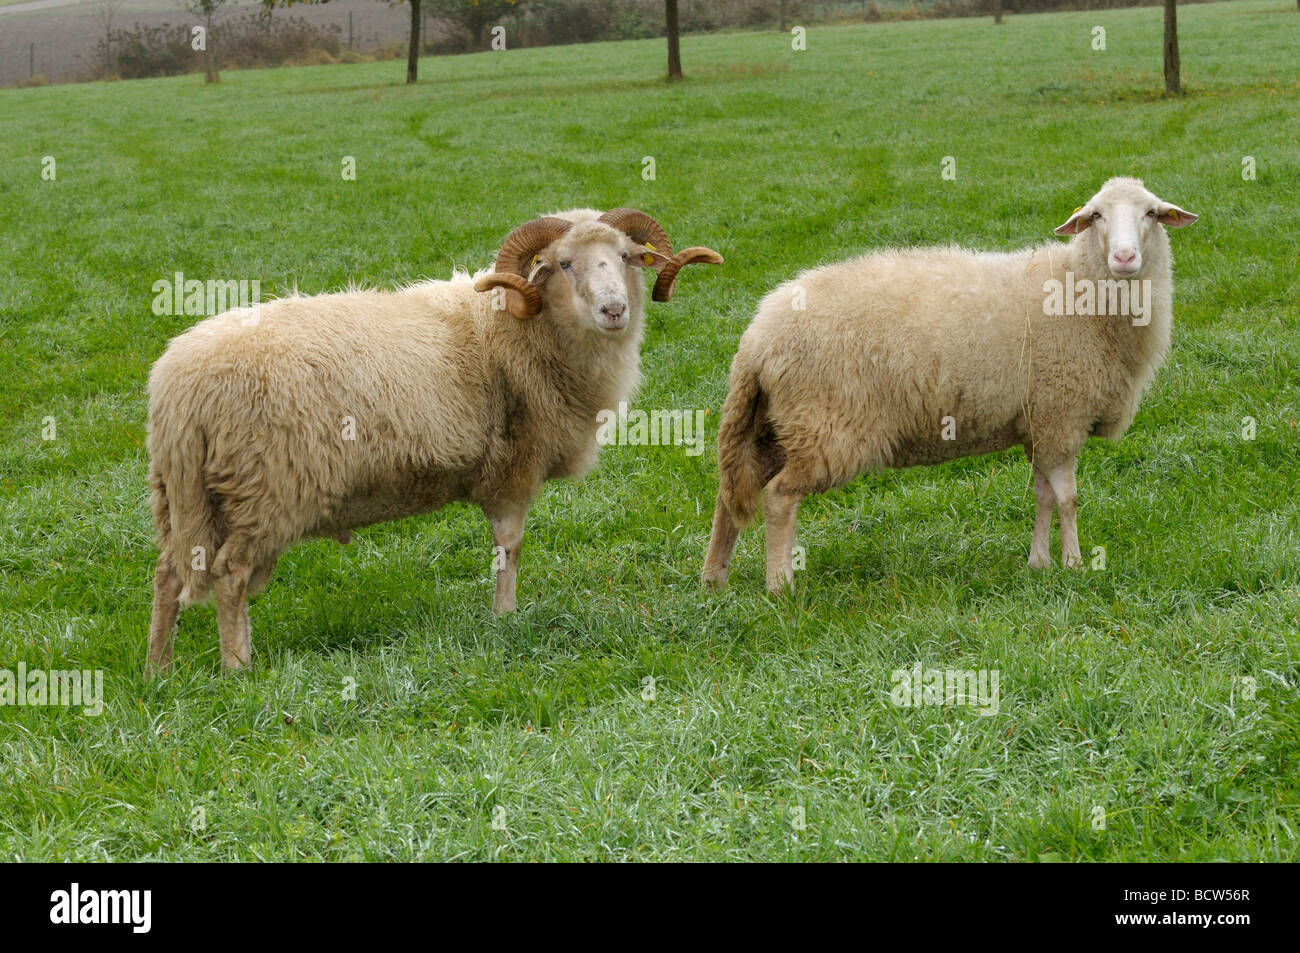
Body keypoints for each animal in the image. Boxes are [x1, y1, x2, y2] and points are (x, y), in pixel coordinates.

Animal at [149, 208, 722, 670]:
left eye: (625, 256)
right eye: (562, 264)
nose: (614, 310)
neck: (513, 326)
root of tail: (178, 385)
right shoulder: (513, 470)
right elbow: (509, 548)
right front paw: (505, 618)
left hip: (186, 496)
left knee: (169, 573)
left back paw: (160, 670)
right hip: (263, 489)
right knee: (230, 574)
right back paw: (237, 667)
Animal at [707, 176, 1190, 587]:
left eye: (1150, 213)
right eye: (1096, 216)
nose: (1124, 258)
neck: (1082, 293)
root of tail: (756, 339)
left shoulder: (1039, 423)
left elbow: (1043, 496)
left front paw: (1039, 563)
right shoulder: (1061, 416)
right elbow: (1068, 499)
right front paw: (1073, 565)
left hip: (775, 427)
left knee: (729, 499)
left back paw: (715, 582)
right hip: (824, 429)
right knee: (778, 497)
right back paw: (780, 585)